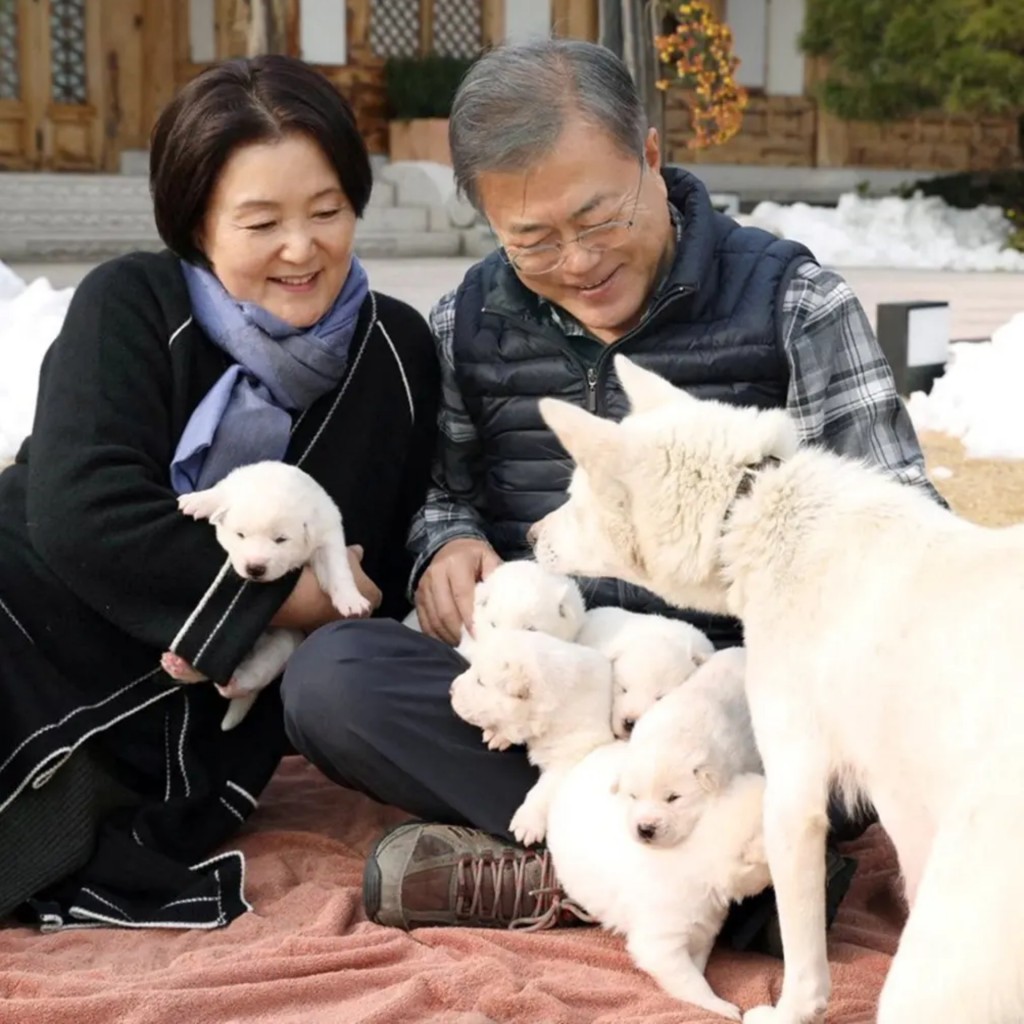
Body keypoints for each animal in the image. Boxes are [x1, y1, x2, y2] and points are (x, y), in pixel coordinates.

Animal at [159, 460, 368, 733]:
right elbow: (220, 493)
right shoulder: (234, 482)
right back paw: (182, 667)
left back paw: (225, 681)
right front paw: (198, 500)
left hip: (282, 644)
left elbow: (337, 568)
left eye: (281, 539)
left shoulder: (327, 536)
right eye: (240, 535)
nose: (255, 569)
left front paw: (351, 600)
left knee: (248, 677)